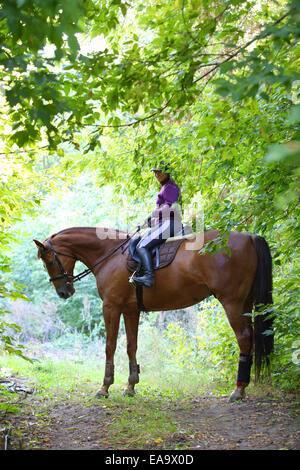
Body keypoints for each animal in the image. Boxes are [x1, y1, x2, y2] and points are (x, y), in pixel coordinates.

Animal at [34, 226, 274, 402]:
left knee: (244, 338)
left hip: (232, 302)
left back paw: (238, 390)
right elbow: (131, 346)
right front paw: (130, 385)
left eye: (48, 261)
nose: (64, 292)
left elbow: (110, 346)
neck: (110, 254)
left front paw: (105, 386)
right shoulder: (130, 310)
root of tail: (249, 236)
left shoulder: (111, 307)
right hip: (245, 303)